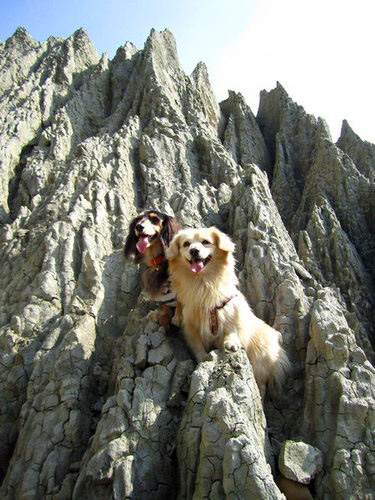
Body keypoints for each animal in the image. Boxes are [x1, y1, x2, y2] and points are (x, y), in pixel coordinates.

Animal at [165, 229, 290, 396]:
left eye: (205, 242)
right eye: (186, 244)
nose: (194, 251)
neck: (202, 282)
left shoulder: (231, 310)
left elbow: (231, 328)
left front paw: (230, 342)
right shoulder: (190, 325)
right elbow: (197, 345)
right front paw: (204, 357)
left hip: (259, 361)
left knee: (261, 384)